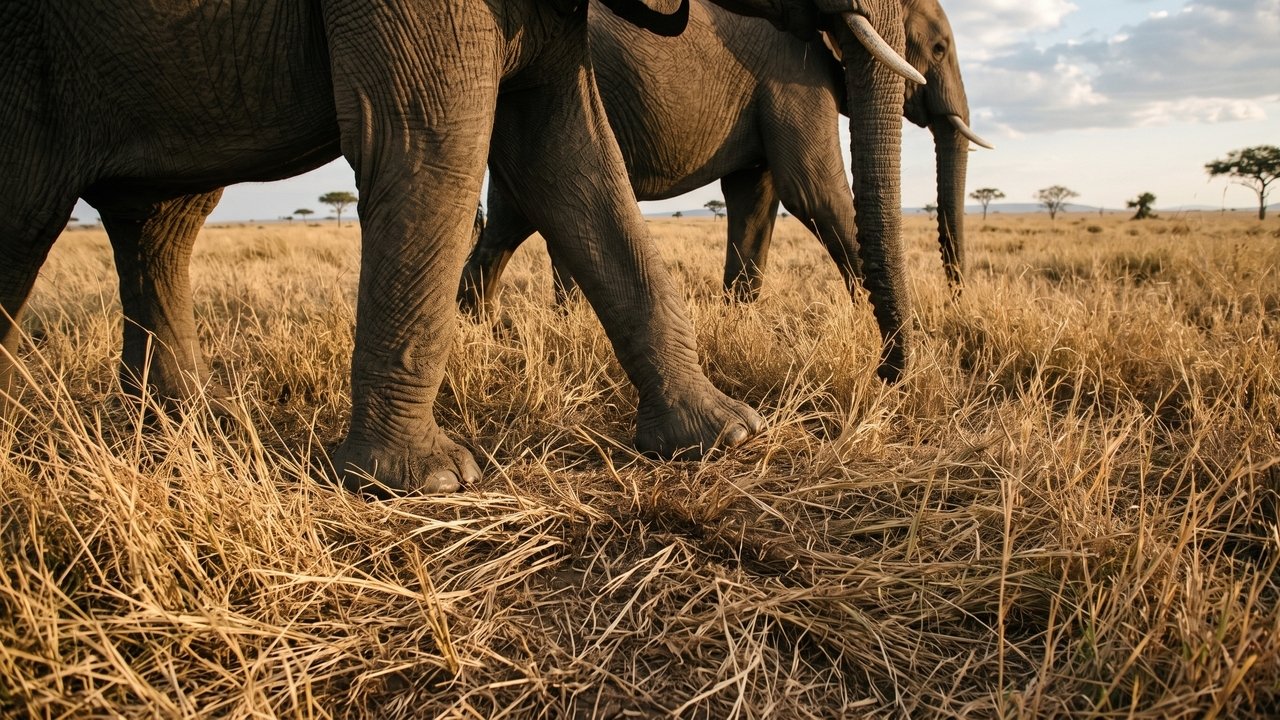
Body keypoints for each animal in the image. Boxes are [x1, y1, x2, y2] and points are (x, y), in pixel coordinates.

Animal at [1, 0, 919, 493]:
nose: (887, 376)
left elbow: (567, 150)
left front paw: (726, 436)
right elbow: (431, 140)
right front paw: (433, 482)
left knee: (160, 224)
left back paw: (172, 433)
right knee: (28, 217)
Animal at [458, 0, 990, 326]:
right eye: (938, 48)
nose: (958, 299)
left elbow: (754, 199)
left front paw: (740, 324)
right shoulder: (794, 73)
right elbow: (814, 192)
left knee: (508, 223)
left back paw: (480, 330)